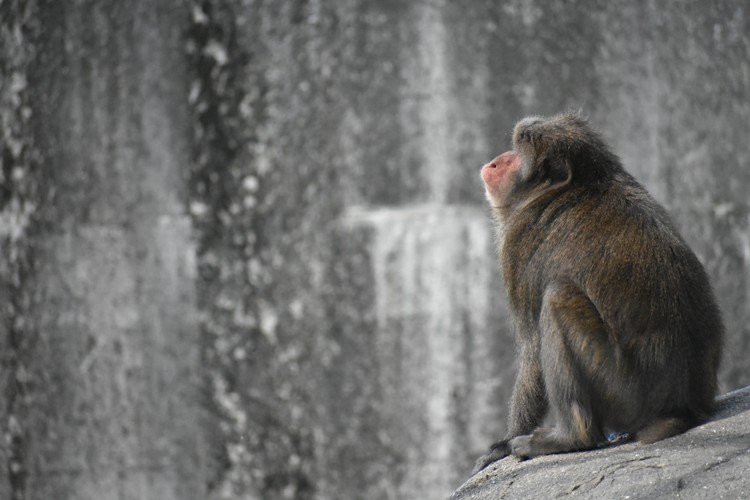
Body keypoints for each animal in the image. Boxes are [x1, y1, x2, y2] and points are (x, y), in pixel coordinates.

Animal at [472, 112, 724, 472]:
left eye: (519, 151)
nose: (495, 162)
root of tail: (683, 405)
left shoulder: (520, 244)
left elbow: (532, 349)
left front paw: (504, 443)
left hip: (623, 391)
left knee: (557, 299)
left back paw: (571, 437)